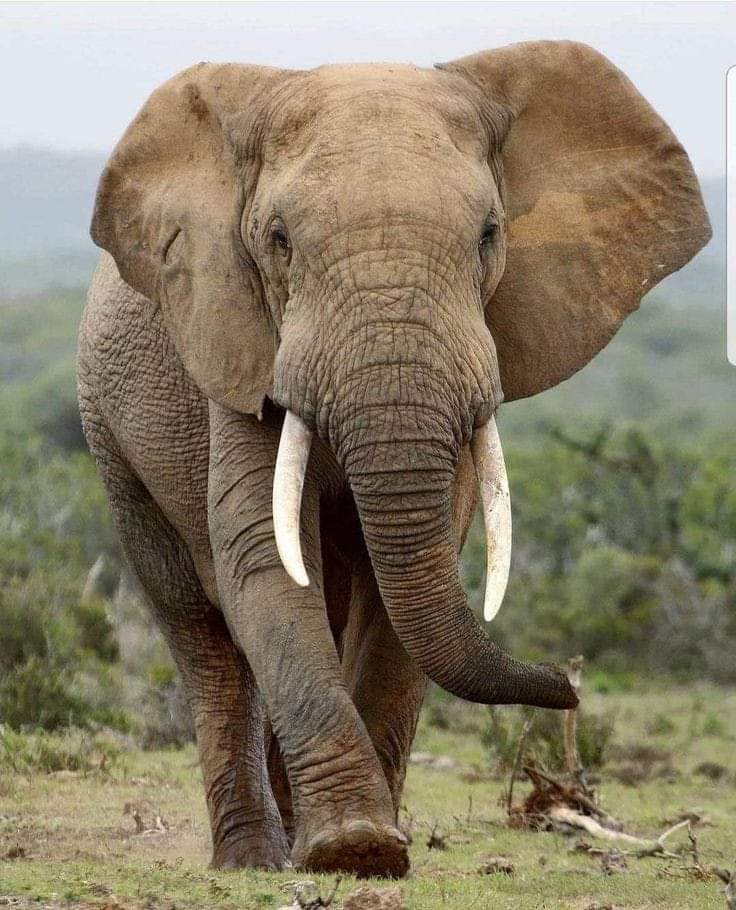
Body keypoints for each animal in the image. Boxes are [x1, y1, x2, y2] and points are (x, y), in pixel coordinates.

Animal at [78, 41, 710, 878]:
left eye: (489, 234)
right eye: (278, 239)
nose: (569, 686)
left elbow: (407, 572)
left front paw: (369, 851)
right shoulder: (236, 337)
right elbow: (264, 553)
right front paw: (354, 845)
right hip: (111, 440)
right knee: (201, 633)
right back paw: (252, 858)